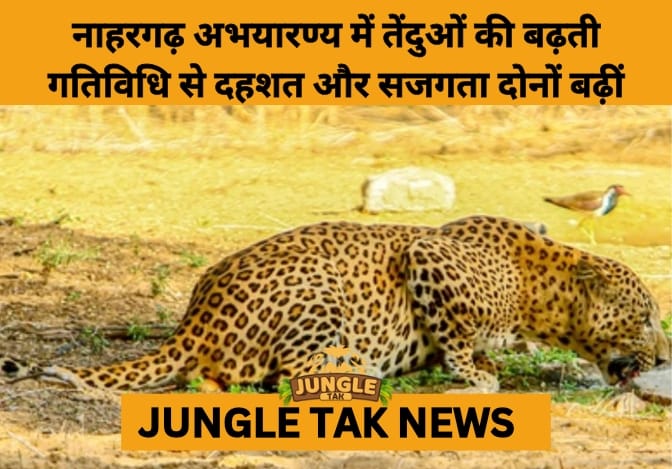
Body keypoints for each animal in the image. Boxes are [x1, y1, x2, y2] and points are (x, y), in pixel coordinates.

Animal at [1, 215, 669, 392]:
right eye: (644, 320)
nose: (664, 357)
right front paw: (478, 374)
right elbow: (457, 340)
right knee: (283, 373)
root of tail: (194, 320)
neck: (539, 290)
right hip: (320, 289)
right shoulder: (427, 257)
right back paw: (362, 371)